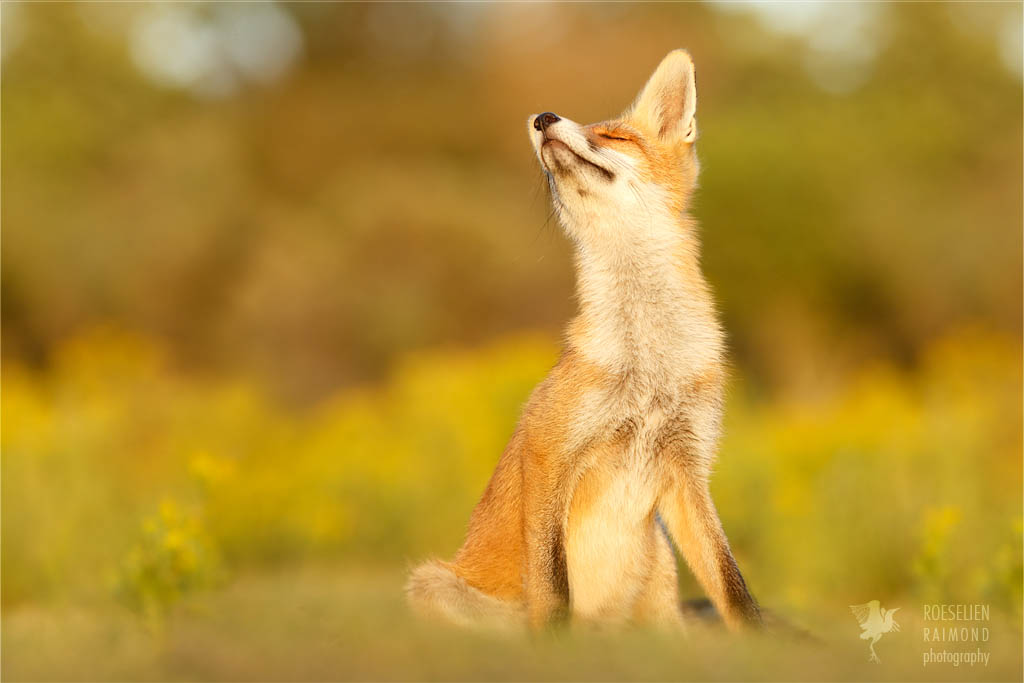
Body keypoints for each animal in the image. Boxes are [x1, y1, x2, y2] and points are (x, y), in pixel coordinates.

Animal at [405, 50, 761, 634]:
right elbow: (553, 588)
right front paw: (556, 647)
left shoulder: (688, 471)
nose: (542, 118)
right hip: (432, 585)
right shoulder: (549, 451)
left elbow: (734, 590)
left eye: (614, 136)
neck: (649, 366)